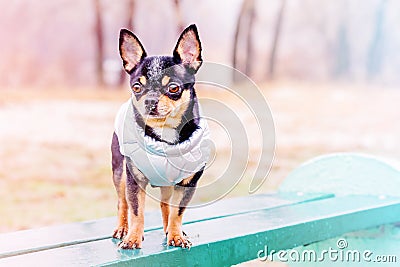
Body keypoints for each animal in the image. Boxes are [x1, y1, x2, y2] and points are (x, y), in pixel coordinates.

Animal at [110, 24, 209, 250]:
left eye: (173, 88)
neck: (165, 136)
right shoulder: (134, 181)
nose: (150, 101)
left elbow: (177, 212)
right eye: (137, 87)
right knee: (122, 202)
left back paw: (168, 228)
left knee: (166, 205)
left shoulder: (187, 183)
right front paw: (133, 238)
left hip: (167, 184)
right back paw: (122, 228)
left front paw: (176, 235)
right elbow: (136, 211)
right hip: (120, 173)